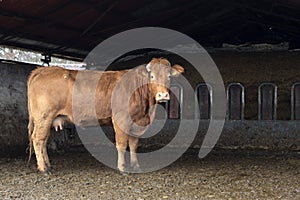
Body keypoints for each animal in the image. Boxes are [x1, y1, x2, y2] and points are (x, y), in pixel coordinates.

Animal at [27, 57, 183, 173]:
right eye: (152, 76)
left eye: (169, 76)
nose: (163, 95)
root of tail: (42, 70)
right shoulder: (121, 119)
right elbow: (121, 144)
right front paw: (122, 168)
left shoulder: (136, 122)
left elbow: (133, 145)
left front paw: (136, 166)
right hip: (44, 117)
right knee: (38, 139)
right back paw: (44, 169)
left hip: (47, 120)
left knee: (44, 140)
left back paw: (48, 165)